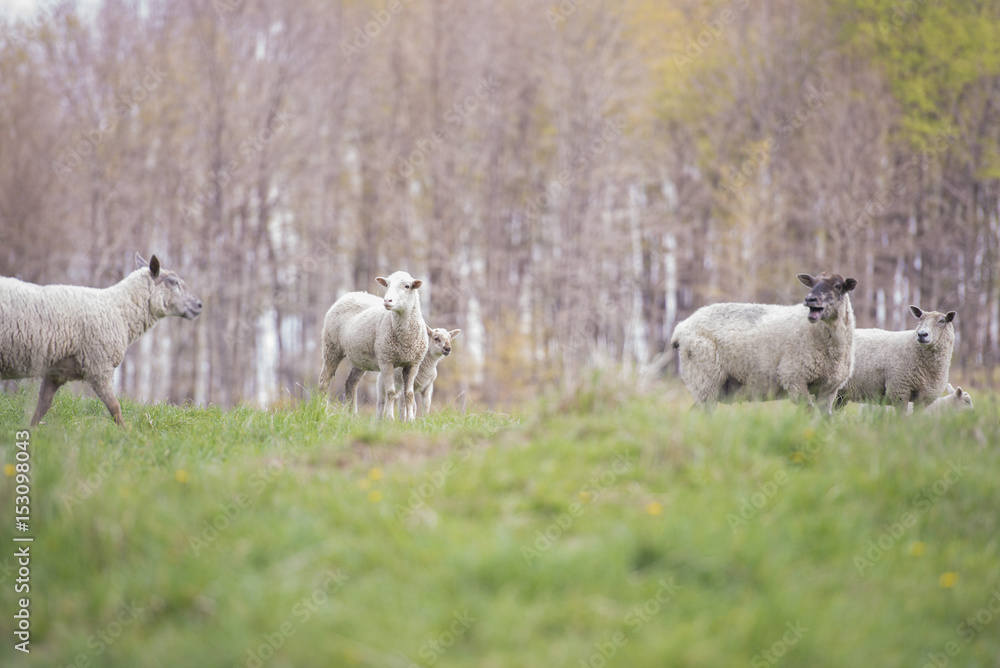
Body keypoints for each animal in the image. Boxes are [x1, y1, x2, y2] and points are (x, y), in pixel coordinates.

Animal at [0, 253, 202, 426]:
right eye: (173, 282)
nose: (199, 304)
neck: (120, 311)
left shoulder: (56, 371)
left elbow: (42, 406)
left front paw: (31, 432)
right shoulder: (99, 366)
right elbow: (115, 408)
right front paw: (128, 435)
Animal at [318, 271, 429, 421]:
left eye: (407, 286)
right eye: (387, 284)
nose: (387, 301)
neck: (405, 340)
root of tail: (348, 295)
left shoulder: (413, 363)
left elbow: (409, 394)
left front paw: (411, 420)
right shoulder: (386, 360)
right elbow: (390, 392)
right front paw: (390, 419)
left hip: (359, 359)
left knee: (350, 383)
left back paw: (352, 416)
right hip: (331, 347)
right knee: (324, 382)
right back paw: (320, 411)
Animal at [669, 272, 857, 413]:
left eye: (838, 286)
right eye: (812, 284)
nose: (810, 299)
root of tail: (681, 326)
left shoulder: (829, 389)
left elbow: (825, 419)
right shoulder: (793, 377)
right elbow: (810, 413)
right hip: (705, 378)